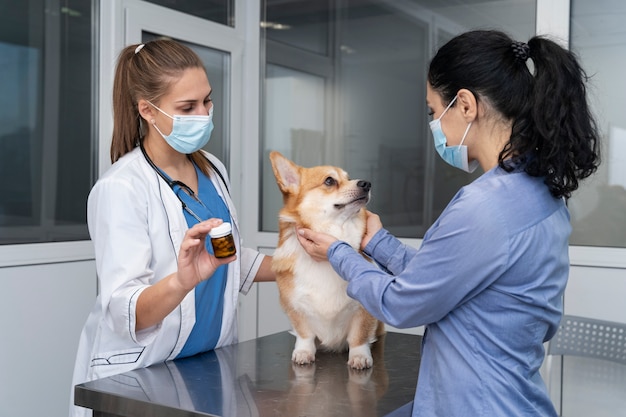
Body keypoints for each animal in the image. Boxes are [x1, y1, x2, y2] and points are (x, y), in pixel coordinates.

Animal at [266, 151, 382, 368]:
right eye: (329, 181)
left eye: (348, 177)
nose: (367, 183)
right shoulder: (294, 307)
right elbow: (304, 335)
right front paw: (304, 352)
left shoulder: (364, 310)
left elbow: (359, 337)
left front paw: (359, 356)